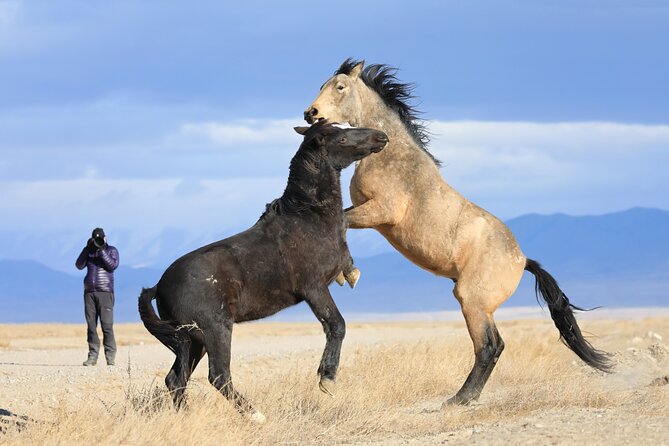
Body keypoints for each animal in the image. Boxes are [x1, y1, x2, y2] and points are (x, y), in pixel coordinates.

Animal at [138, 121, 388, 422]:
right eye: (339, 137)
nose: (381, 137)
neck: (307, 218)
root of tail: (159, 286)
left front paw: (350, 274)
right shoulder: (314, 289)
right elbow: (336, 325)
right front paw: (327, 378)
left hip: (192, 341)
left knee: (176, 379)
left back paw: (186, 417)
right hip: (215, 331)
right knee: (218, 375)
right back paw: (255, 415)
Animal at [304, 59, 612, 405]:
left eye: (340, 87)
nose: (311, 113)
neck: (392, 156)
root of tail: (522, 261)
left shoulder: (381, 212)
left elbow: (342, 224)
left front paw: (349, 273)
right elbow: (341, 224)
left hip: (472, 301)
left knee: (489, 346)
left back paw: (460, 398)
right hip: (479, 304)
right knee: (496, 345)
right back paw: (468, 396)